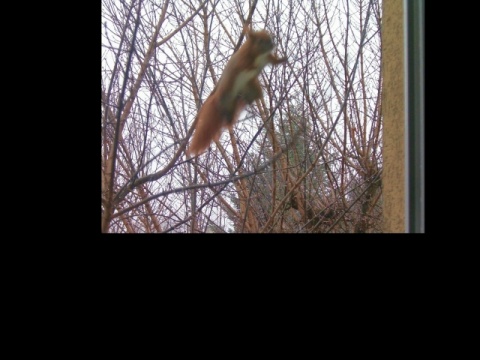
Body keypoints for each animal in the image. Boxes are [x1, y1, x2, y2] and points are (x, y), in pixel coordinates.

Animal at [187, 25, 284, 155]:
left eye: (270, 38)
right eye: (260, 41)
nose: (273, 44)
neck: (259, 55)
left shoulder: (267, 59)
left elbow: (274, 61)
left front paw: (284, 59)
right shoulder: (242, 62)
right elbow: (244, 67)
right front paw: (254, 67)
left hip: (249, 91)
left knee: (253, 97)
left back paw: (248, 104)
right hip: (227, 100)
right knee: (227, 117)